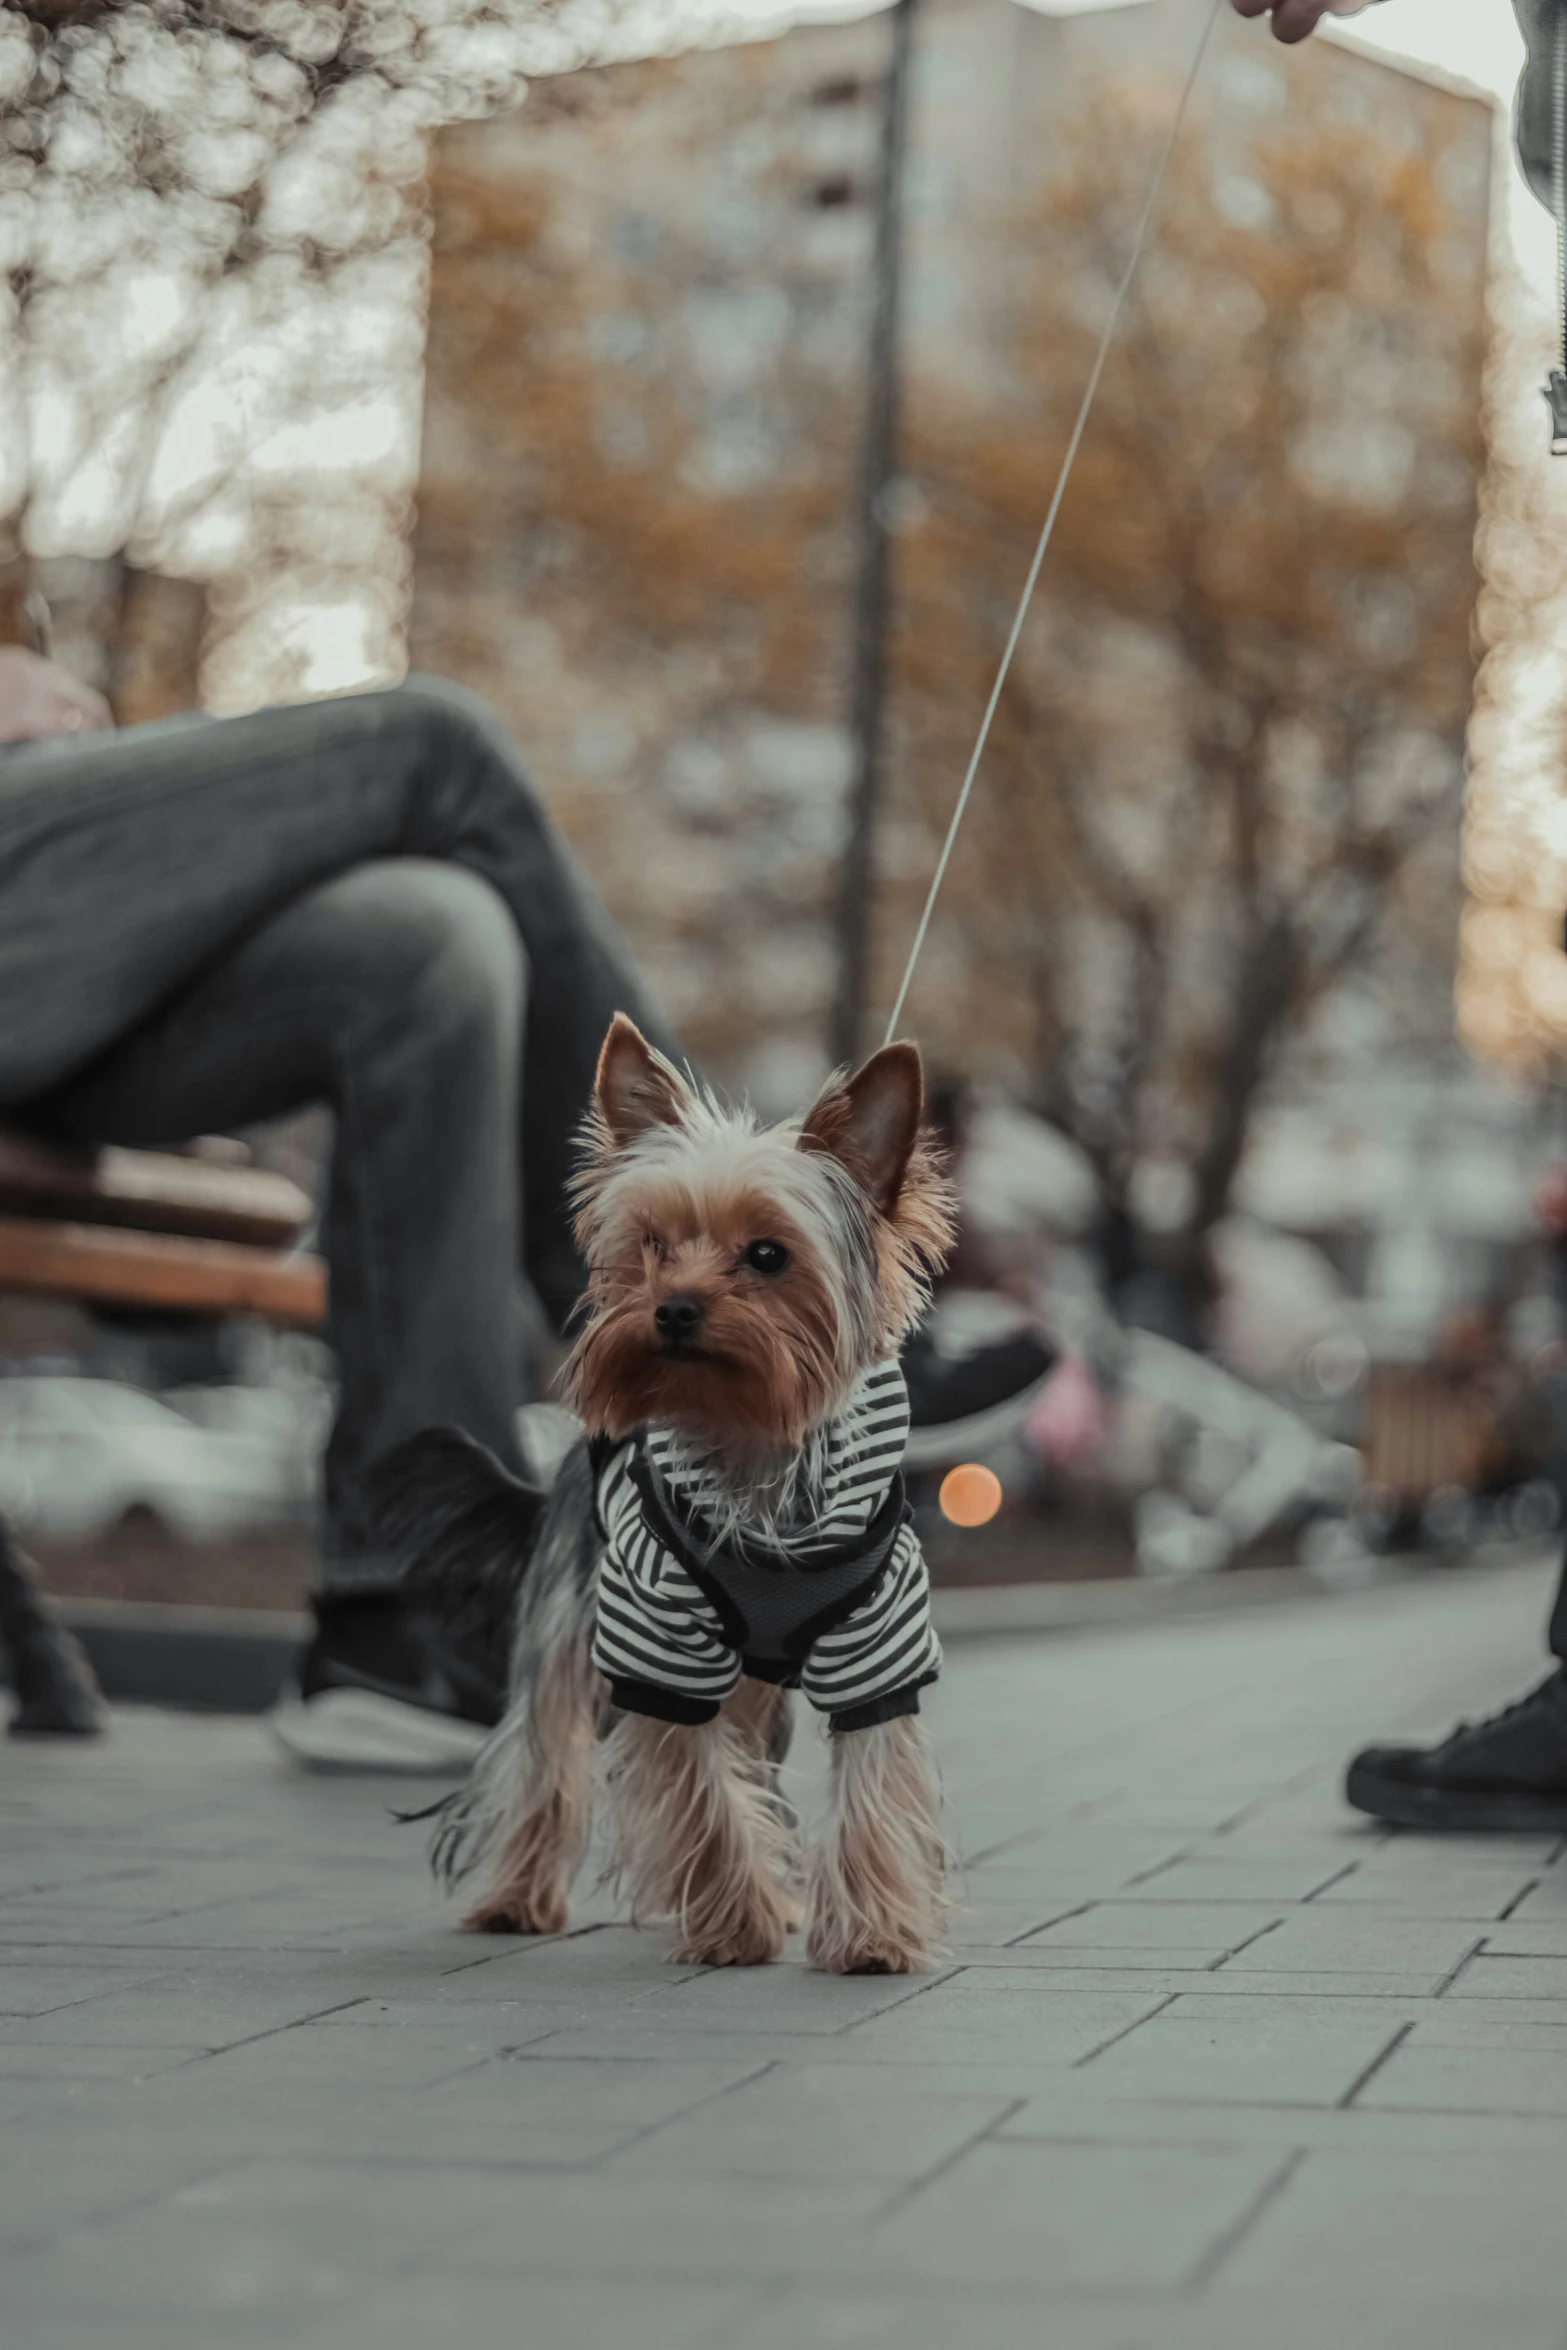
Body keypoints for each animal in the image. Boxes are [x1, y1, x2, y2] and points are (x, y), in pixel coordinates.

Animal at [389, 1019, 958, 1973]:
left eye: (767, 1255)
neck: (751, 1452)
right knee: (541, 1759)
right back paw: (514, 1897)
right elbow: (697, 1787)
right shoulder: (657, 1645)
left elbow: (870, 1782)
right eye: (652, 1246)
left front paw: (871, 1933)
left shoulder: (876, 1644)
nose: (673, 1308)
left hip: (754, 1685)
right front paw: (736, 1922)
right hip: (567, 1619)